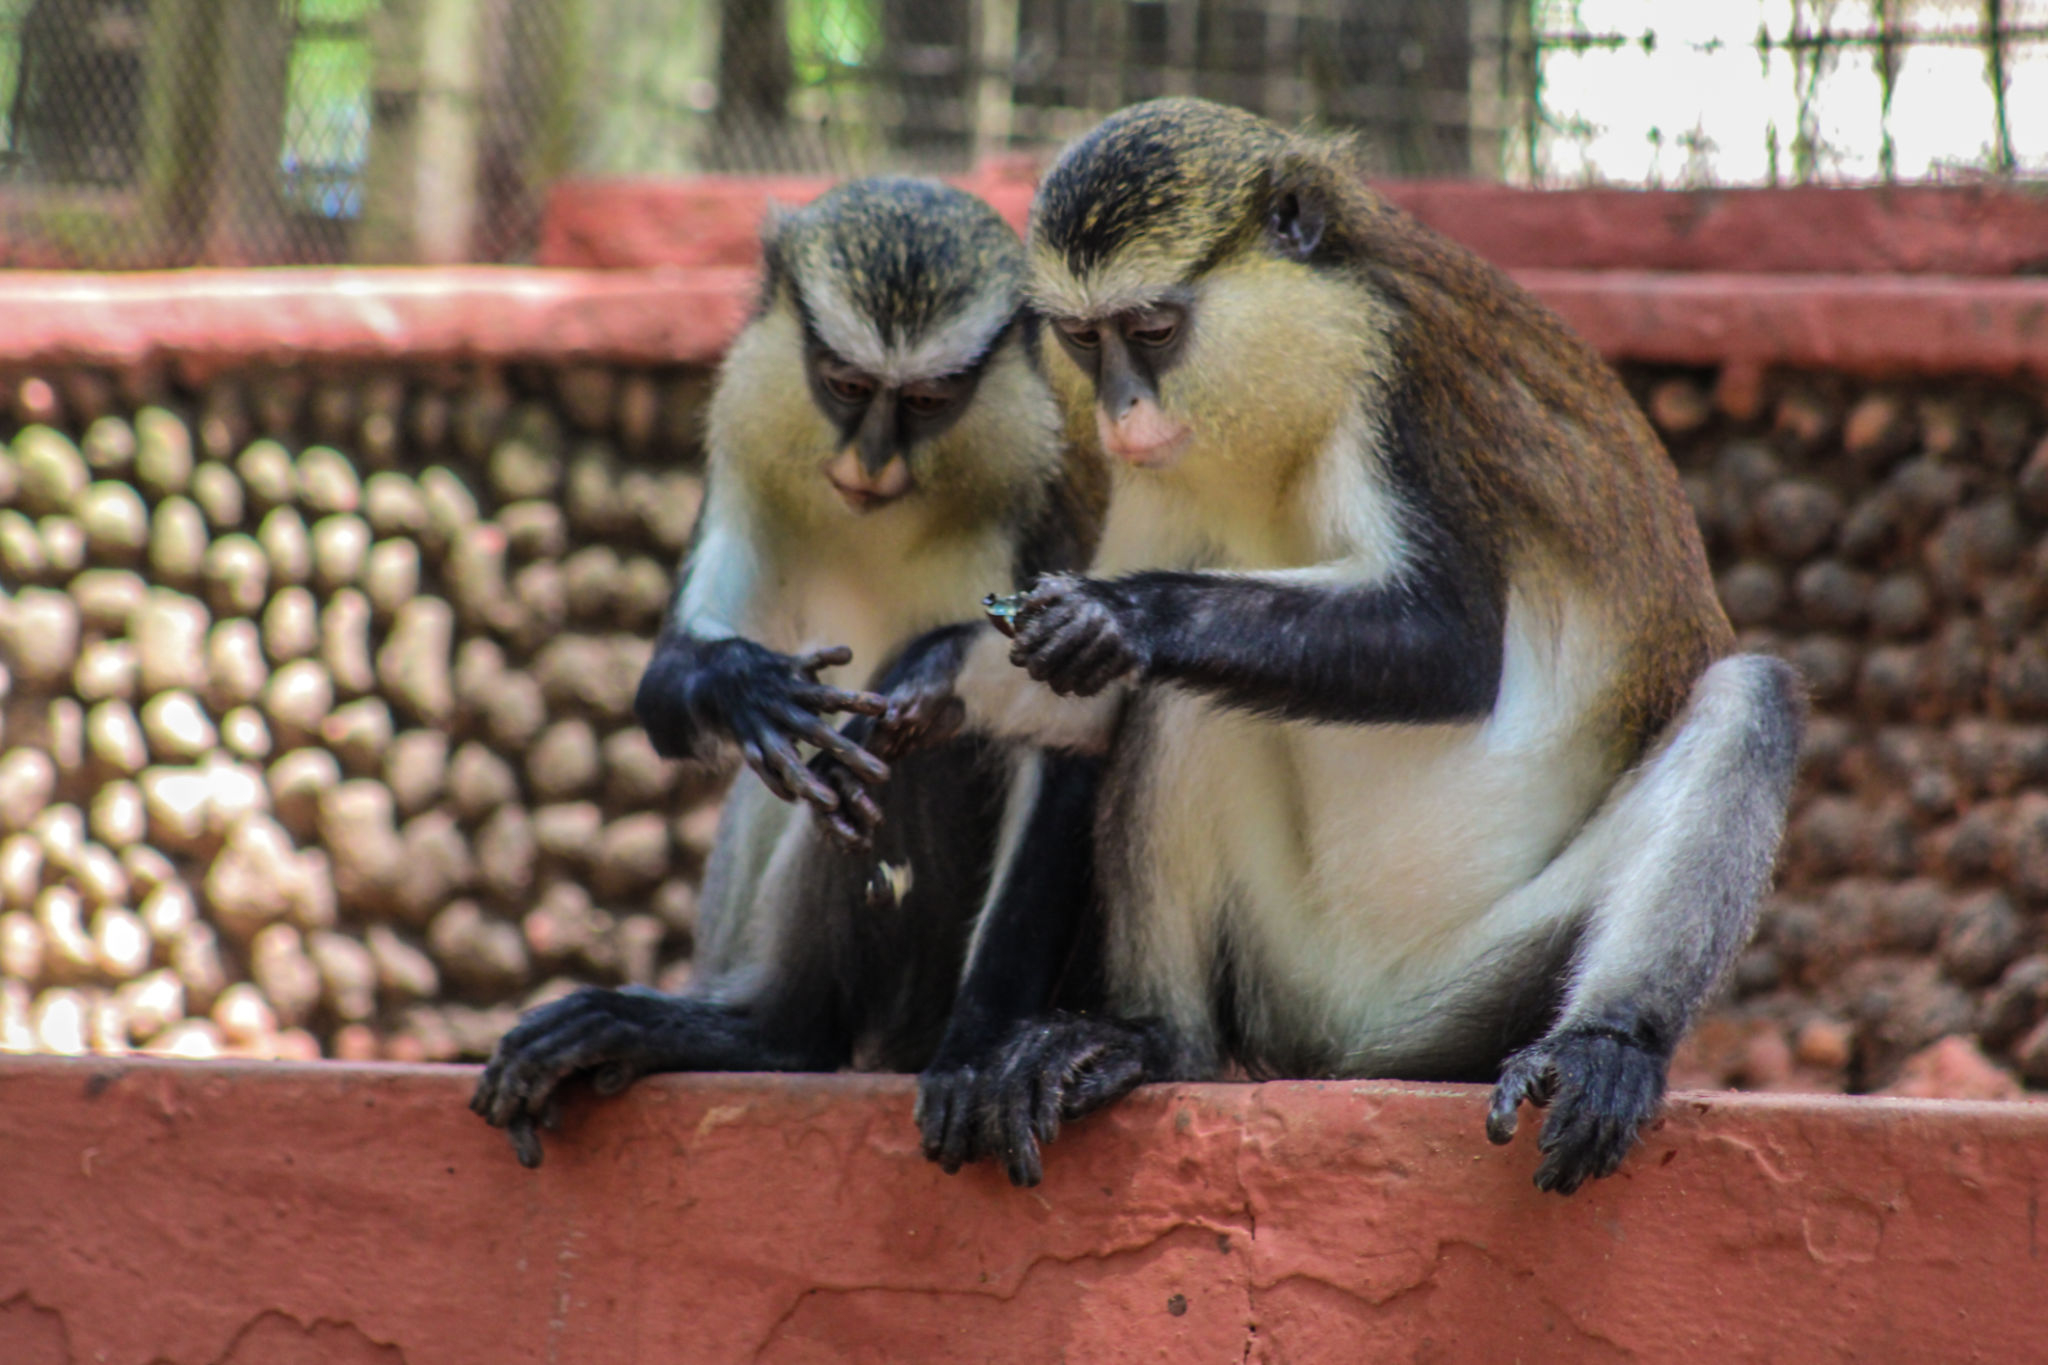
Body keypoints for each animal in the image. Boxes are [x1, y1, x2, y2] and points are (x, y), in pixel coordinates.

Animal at [466, 175, 1114, 1170]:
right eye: (844, 385)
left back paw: (776, 1031)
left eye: (931, 398)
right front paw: (745, 688)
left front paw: (979, 1053)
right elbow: (665, 687)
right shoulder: (744, 456)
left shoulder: (1046, 506)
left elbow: (1067, 738)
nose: (869, 462)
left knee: (909, 742)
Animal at [905, 101, 1802, 1195]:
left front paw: (1125, 616)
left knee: (1751, 697)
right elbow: (1088, 706)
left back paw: (1607, 1043)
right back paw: (1150, 1040)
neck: (1303, 358)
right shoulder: (1159, 476)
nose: (1121, 414)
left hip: (1475, 996)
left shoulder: (1403, 384)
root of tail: (1351, 1042)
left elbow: (1450, 645)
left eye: (1153, 331)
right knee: (1178, 701)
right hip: (1282, 966)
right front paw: (931, 682)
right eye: (1083, 338)